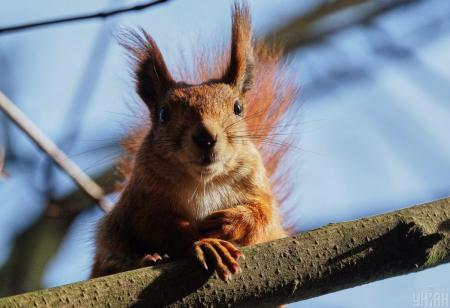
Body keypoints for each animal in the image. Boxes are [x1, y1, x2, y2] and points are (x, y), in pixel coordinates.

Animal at [91, 1, 298, 282]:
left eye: (238, 108)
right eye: (163, 113)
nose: (206, 136)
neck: (203, 181)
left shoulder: (257, 188)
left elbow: (264, 216)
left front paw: (231, 221)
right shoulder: (141, 201)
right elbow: (160, 226)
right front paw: (207, 245)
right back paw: (148, 258)